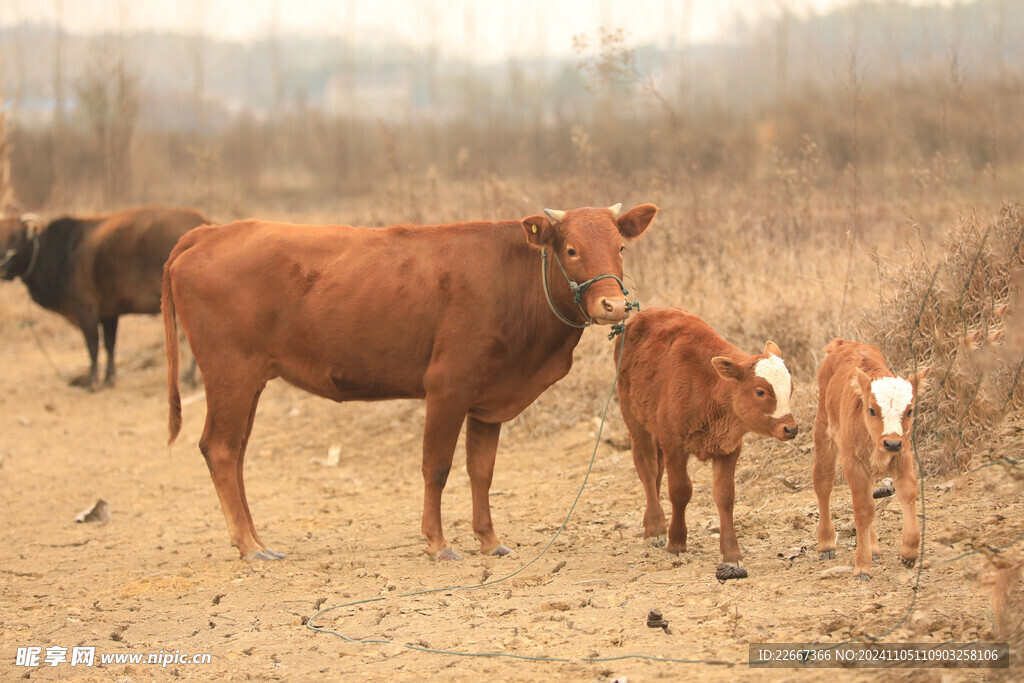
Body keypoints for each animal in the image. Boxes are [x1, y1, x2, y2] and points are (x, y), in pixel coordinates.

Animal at [0, 205, 209, 389]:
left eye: (16, 237)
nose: (2, 266)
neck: (62, 254)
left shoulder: (86, 311)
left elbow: (93, 347)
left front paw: (92, 382)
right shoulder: (110, 314)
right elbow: (110, 345)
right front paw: (109, 378)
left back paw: (190, 377)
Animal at [159, 201, 655, 561]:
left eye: (621, 248)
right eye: (571, 249)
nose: (613, 305)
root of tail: (211, 232)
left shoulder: (489, 399)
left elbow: (482, 471)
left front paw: (490, 540)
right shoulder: (447, 387)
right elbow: (436, 467)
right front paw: (438, 543)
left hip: (250, 381)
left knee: (237, 452)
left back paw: (257, 539)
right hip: (231, 375)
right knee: (220, 449)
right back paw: (248, 546)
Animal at [614, 307, 798, 581]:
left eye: (791, 388)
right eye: (760, 391)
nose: (791, 428)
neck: (710, 388)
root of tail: (642, 314)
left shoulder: (729, 447)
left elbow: (725, 497)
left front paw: (732, 555)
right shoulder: (674, 443)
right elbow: (680, 492)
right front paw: (676, 544)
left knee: (655, 474)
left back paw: (650, 524)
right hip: (634, 419)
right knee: (646, 467)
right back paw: (656, 528)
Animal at [811, 339, 933, 581]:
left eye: (910, 411)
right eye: (871, 410)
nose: (892, 443)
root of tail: (845, 343)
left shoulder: (903, 454)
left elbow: (907, 493)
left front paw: (909, 553)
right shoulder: (853, 462)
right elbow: (863, 509)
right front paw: (861, 567)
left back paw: (874, 547)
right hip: (824, 429)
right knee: (823, 481)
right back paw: (827, 544)